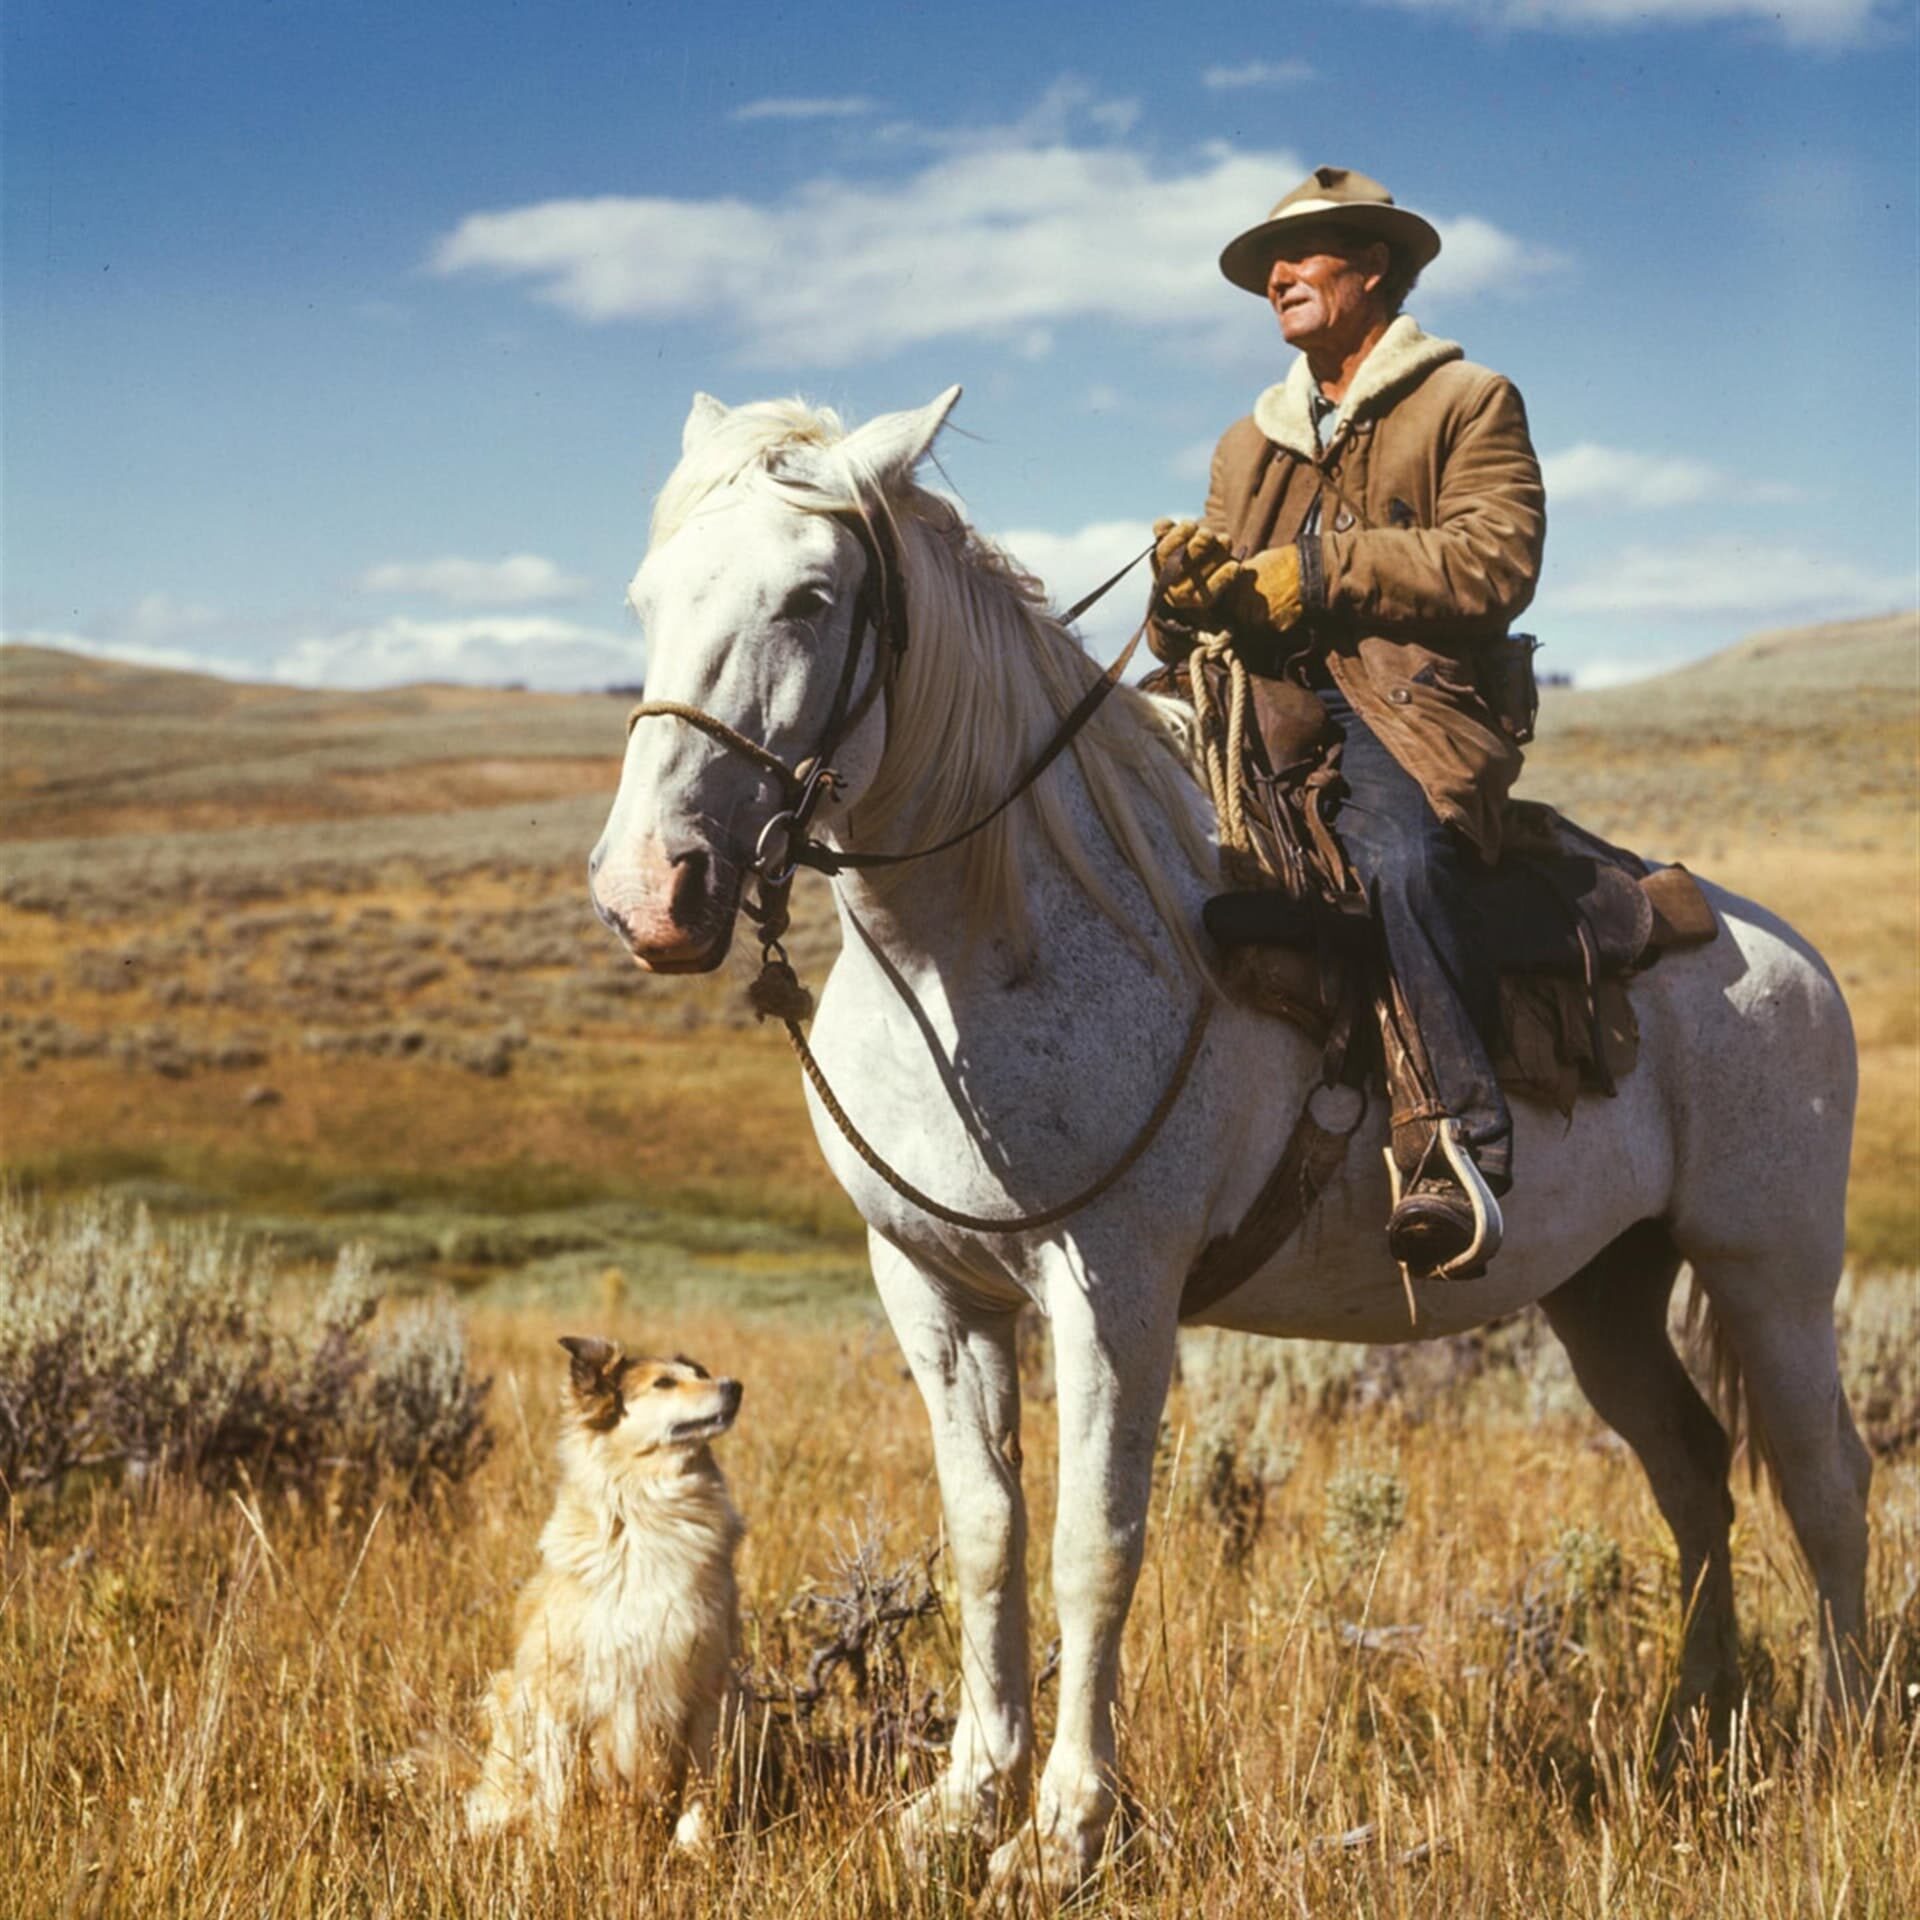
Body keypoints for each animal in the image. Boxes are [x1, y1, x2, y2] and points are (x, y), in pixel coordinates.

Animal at [464, 1336, 741, 1843]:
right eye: (664, 1383)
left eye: (701, 1373)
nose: (735, 1387)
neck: (649, 1513)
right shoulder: (559, 1690)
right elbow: (556, 1795)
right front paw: (553, 1852)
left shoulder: (705, 1684)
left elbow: (700, 1784)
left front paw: (694, 1849)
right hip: (507, 1692)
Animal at [591, 389, 1866, 1904]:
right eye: (646, 596)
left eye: (812, 596)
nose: (651, 892)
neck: (998, 937)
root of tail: (1783, 953)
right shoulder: (930, 1286)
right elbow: (985, 1535)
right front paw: (959, 1803)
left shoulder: (1115, 1287)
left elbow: (1094, 1547)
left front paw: (1062, 1833)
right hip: (1603, 1288)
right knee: (1693, 1474)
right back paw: (1694, 1730)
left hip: (1770, 1268)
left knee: (1826, 1484)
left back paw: (1845, 1738)